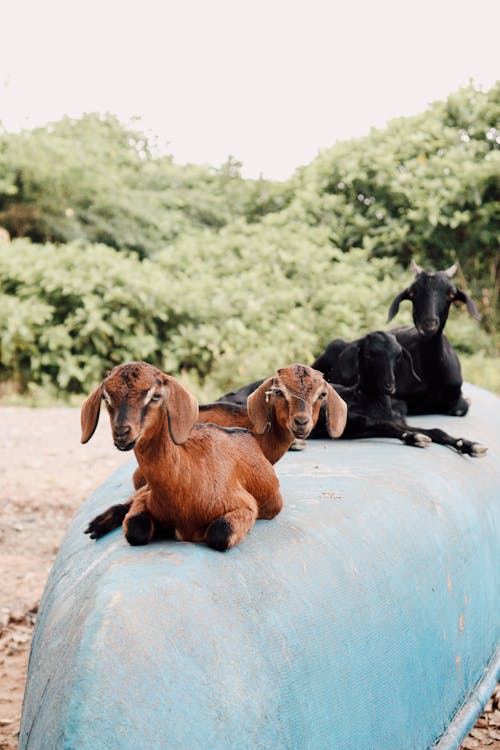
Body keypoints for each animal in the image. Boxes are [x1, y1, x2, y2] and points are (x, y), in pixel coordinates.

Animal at [83, 362, 286, 552]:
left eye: (156, 396)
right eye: (106, 398)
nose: (122, 432)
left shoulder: (246, 505)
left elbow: (220, 532)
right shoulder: (145, 500)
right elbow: (135, 529)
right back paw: (96, 525)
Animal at [310, 334, 486, 458]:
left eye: (398, 356)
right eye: (369, 354)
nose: (390, 385)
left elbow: (436, 430)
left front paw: (470, 445)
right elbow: (380, 424)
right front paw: (415, 437)